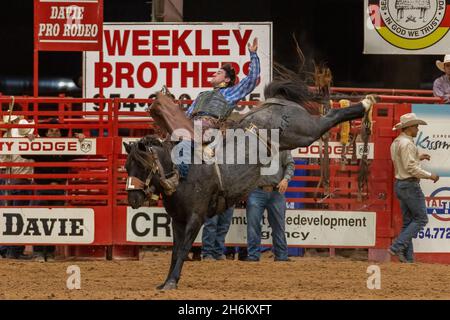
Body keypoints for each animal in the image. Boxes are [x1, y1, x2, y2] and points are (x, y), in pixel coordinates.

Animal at [124, 78, 376, 290]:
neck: (180, 172)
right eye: (127, 168)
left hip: (303, 131)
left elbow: (184, 247)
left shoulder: (196, 217)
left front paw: (171, 283)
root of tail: (275, 102)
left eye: (143, 166)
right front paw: (167, 281)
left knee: (330, 117)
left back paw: (365, 103)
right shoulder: (177, 219)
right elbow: (176, 250)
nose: (132, 197)